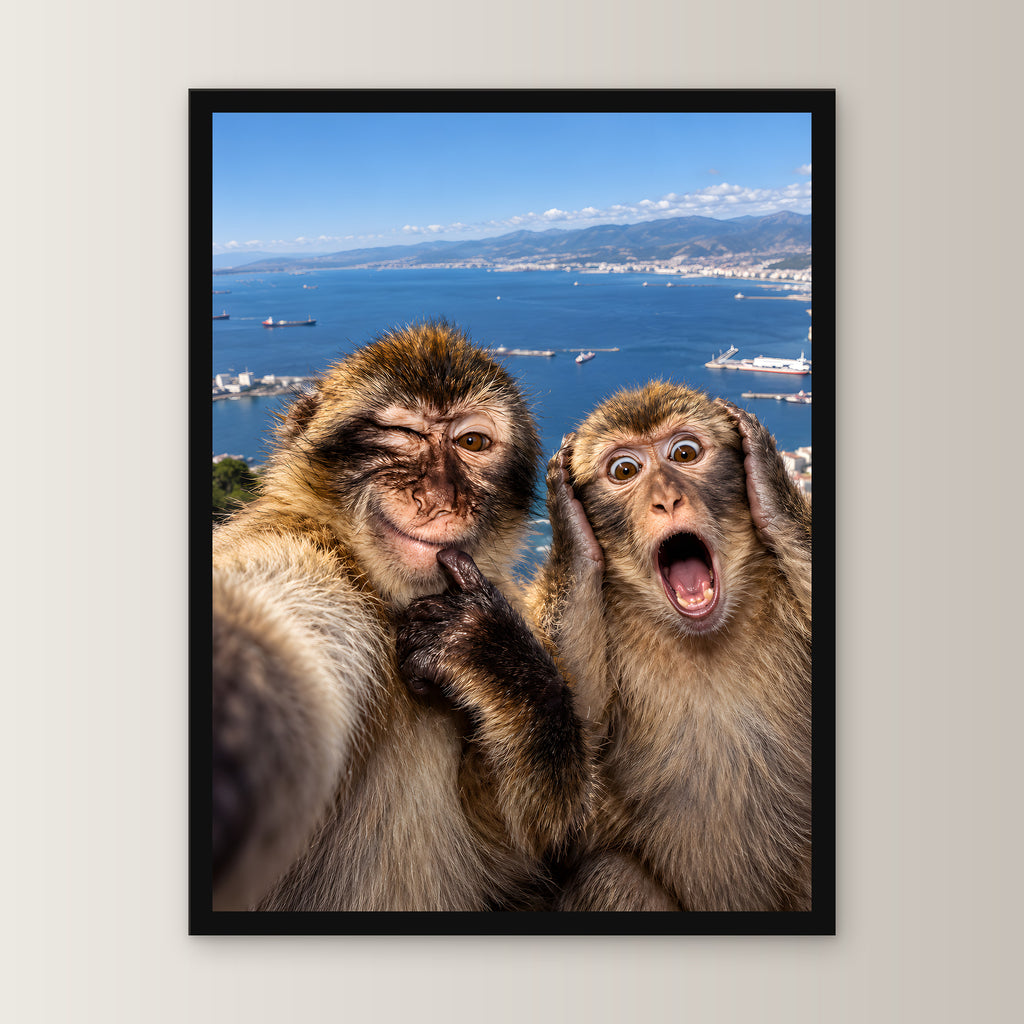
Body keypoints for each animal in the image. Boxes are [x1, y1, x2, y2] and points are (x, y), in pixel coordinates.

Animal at [211, 321, 597, 912]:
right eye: (402, 433)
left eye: (472, 442)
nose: (439, 497)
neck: (386, 596)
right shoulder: (297, 553)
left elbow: (532, 843)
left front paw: (489, 653)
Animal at [527, 381, 812, 912]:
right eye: (624, 470)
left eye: (685, 453)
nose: (666, 500)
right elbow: (559, 797)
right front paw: (570, 532)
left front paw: (769, 482)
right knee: (608, 877)